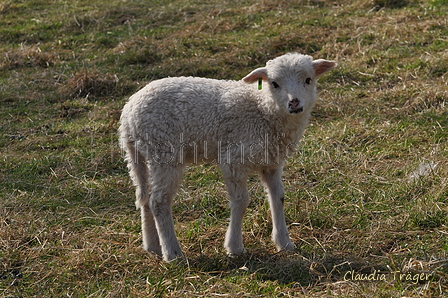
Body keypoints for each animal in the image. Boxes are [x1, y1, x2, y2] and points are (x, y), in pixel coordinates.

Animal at [119, 52, 336, 262]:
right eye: (274, 83)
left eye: (308, 79)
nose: (294, 103)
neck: (262, 109)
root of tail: (128, 114)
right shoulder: (233, 159)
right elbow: (241, 201)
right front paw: (234, 247)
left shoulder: (271, 161)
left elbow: (278, 198)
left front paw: (284, 243)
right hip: (164, 151)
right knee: (159, 201)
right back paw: (173, 254)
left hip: (147, 153)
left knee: (146, 197)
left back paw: (153, 246)